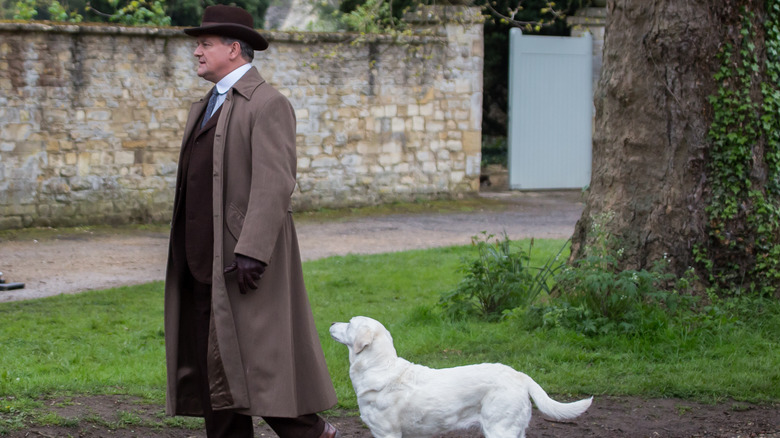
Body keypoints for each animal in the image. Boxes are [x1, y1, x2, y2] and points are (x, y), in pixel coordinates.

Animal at [330, 314, 592, 438]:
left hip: (500, 428)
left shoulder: (387, 432)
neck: (378, 366)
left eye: (350, 323)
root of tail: (519, 375)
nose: (331, 323)